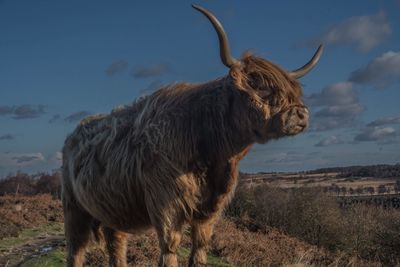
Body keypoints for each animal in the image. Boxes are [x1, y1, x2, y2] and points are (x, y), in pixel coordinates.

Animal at [63, 4, 324, 267]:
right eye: (258, 86)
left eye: (292, 90)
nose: (300, 114)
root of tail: (75, 132)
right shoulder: (166, 205)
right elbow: (170, 249)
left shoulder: (209, 211)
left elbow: (200, 248)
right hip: (74, 209)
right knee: (76, 248)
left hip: (112, 209)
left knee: (115, 245)